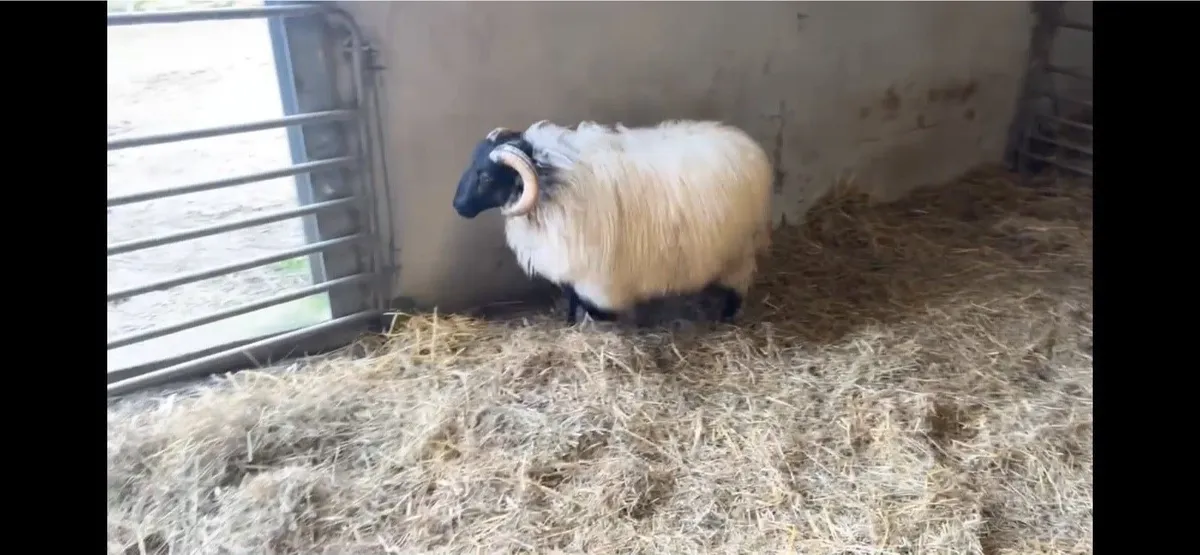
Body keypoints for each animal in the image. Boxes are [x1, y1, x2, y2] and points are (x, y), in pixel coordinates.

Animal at [451, 118, 774, 325]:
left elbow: (594, 309)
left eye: (487, 177)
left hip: (739, 250)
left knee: (738, 285)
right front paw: (569, 324)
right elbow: (571, 299)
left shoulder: (597, 277)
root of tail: (751, 149)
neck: (554, 184)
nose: (458, 206)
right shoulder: (572, 268)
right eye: (471, 163)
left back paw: (726, 316)